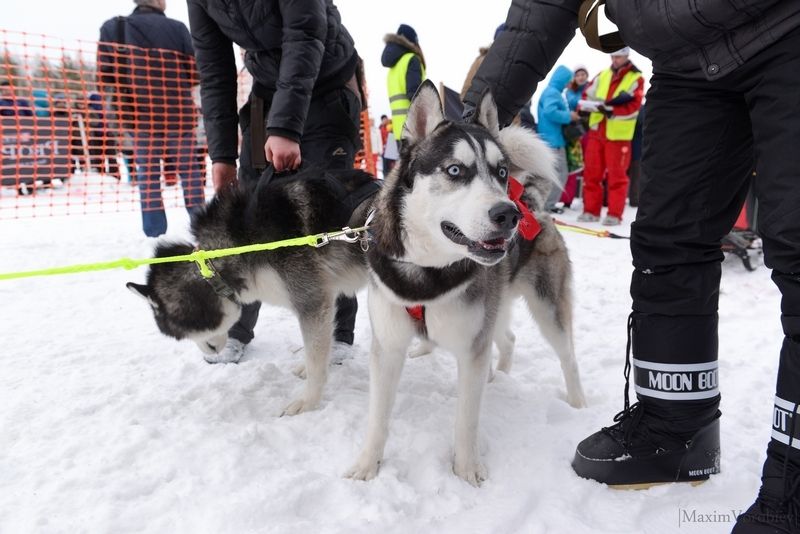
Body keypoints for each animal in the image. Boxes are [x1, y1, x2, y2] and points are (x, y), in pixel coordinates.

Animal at [346, 81, 588, 488]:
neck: (427, 273)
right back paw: (498, 373)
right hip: (496, 308)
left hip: (547, 309)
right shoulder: (389, 346)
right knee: (508, 338)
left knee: (568, 355)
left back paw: (578, 404)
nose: (508, 214)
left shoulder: (471, 347)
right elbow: (378, 418)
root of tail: (531, 199)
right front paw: (367, 466)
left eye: (501, 171)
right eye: (455, 170)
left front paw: (467, 469)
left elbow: (466, 420)